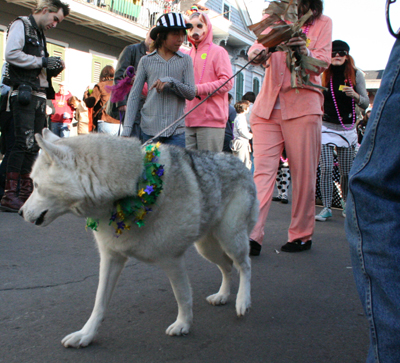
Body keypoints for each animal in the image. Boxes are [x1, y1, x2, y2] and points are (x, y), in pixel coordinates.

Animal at [20, 131, 258, 350]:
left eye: (35, 185)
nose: (20, 213)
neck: (134, 185)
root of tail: (239, 162)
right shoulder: (111, 258)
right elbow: (99, 303)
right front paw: (85, 335)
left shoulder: (173, 261)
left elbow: (182, 296)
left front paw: (183, 325)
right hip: (207, 248)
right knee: (227, 267)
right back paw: (223, 295)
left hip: (230, 238)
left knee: (245, 265)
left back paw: (242, 301)